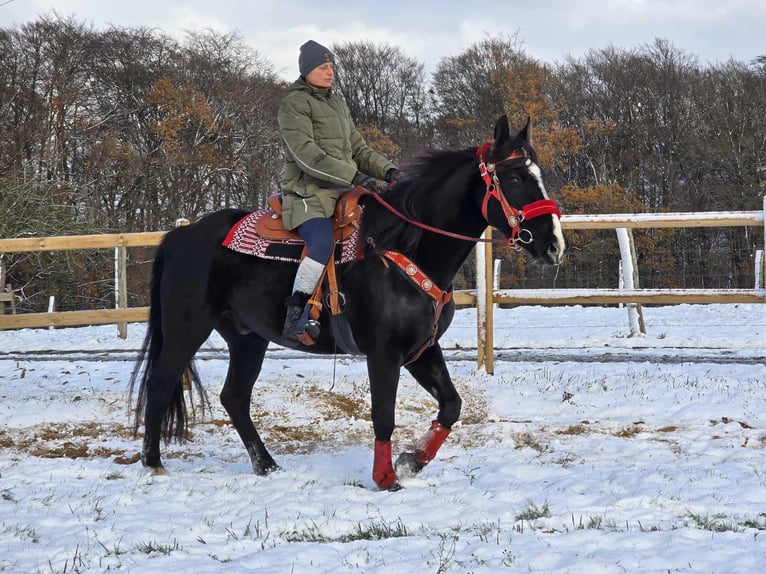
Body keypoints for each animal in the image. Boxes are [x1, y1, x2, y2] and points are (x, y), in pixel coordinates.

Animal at [130, 115, 564, 492]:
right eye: (515, 176)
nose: (554, 243)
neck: (403, 246)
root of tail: (181, 237)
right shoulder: (384, 353)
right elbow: (384, 415)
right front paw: (386, 477)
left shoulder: (422, 350)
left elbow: (451, 405)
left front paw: (412, 461)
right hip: (186, 330)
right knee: (160, 383)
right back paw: (154, 463)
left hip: (247, 338)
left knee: (234, 397)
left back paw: (266, 465)